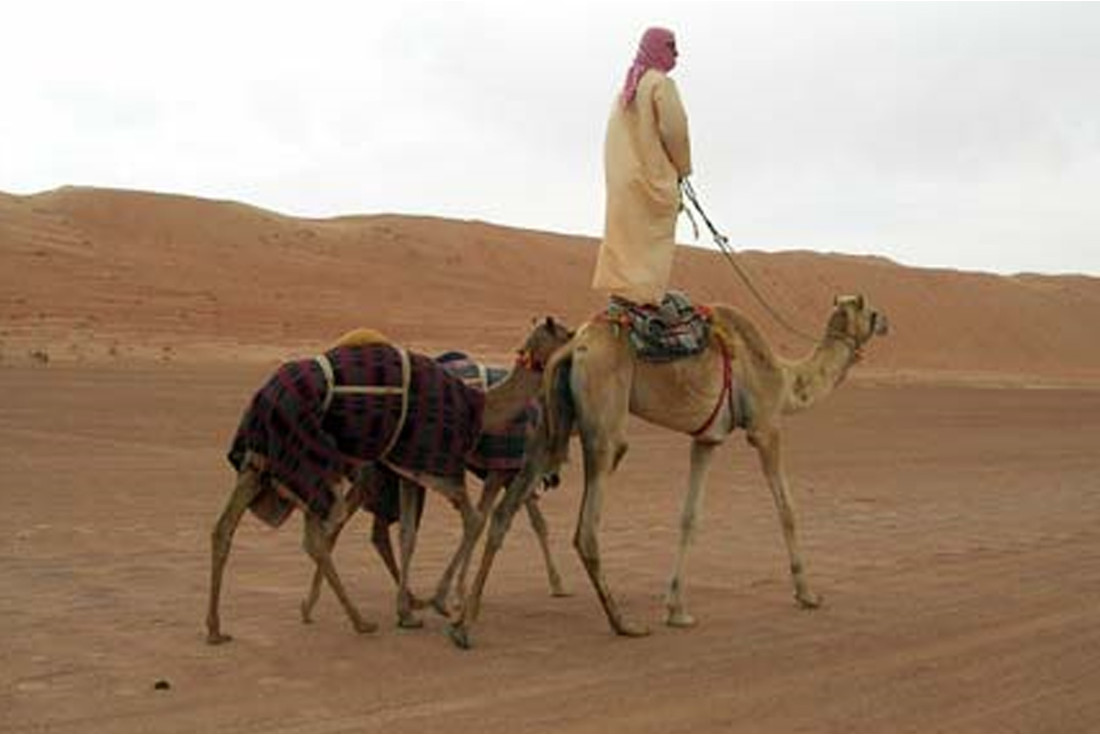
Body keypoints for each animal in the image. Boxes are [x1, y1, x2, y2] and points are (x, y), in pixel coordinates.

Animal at [205, 317, 572, 644]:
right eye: (567, 333)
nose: (577, 346)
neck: (481, 407)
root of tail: (267, 391)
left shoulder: (410, 467)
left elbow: (409, 533)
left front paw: (409, 612)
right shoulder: (443, 466)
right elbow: (475, 520)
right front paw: (443, 602)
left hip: (263, 461)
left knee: (226, 528)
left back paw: (217, 629)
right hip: (314, 460)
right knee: (319, 535)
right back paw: (358, 619)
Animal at [448, 294, 888, 647]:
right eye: (869, 309)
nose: (886, 320)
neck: (784, 379)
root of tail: (574, 347)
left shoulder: (707, 439)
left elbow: (689, 518)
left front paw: (677, 609)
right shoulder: (766, 427)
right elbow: (788, 510)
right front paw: (808, 594)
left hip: (546, 426)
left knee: (504, 513)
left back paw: (463, 624)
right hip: (605, 425)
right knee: (586, 526)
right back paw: (624, 624)